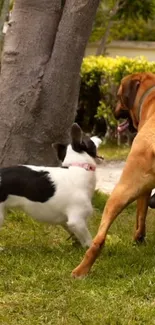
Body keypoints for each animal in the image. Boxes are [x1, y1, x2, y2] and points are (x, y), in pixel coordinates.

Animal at [72, 72, 155, 278]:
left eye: (118, 96)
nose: (114, 111)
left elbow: (140, 215)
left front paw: (139, 238)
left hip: (120, 191)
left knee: (99, 239)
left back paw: (80, 270)